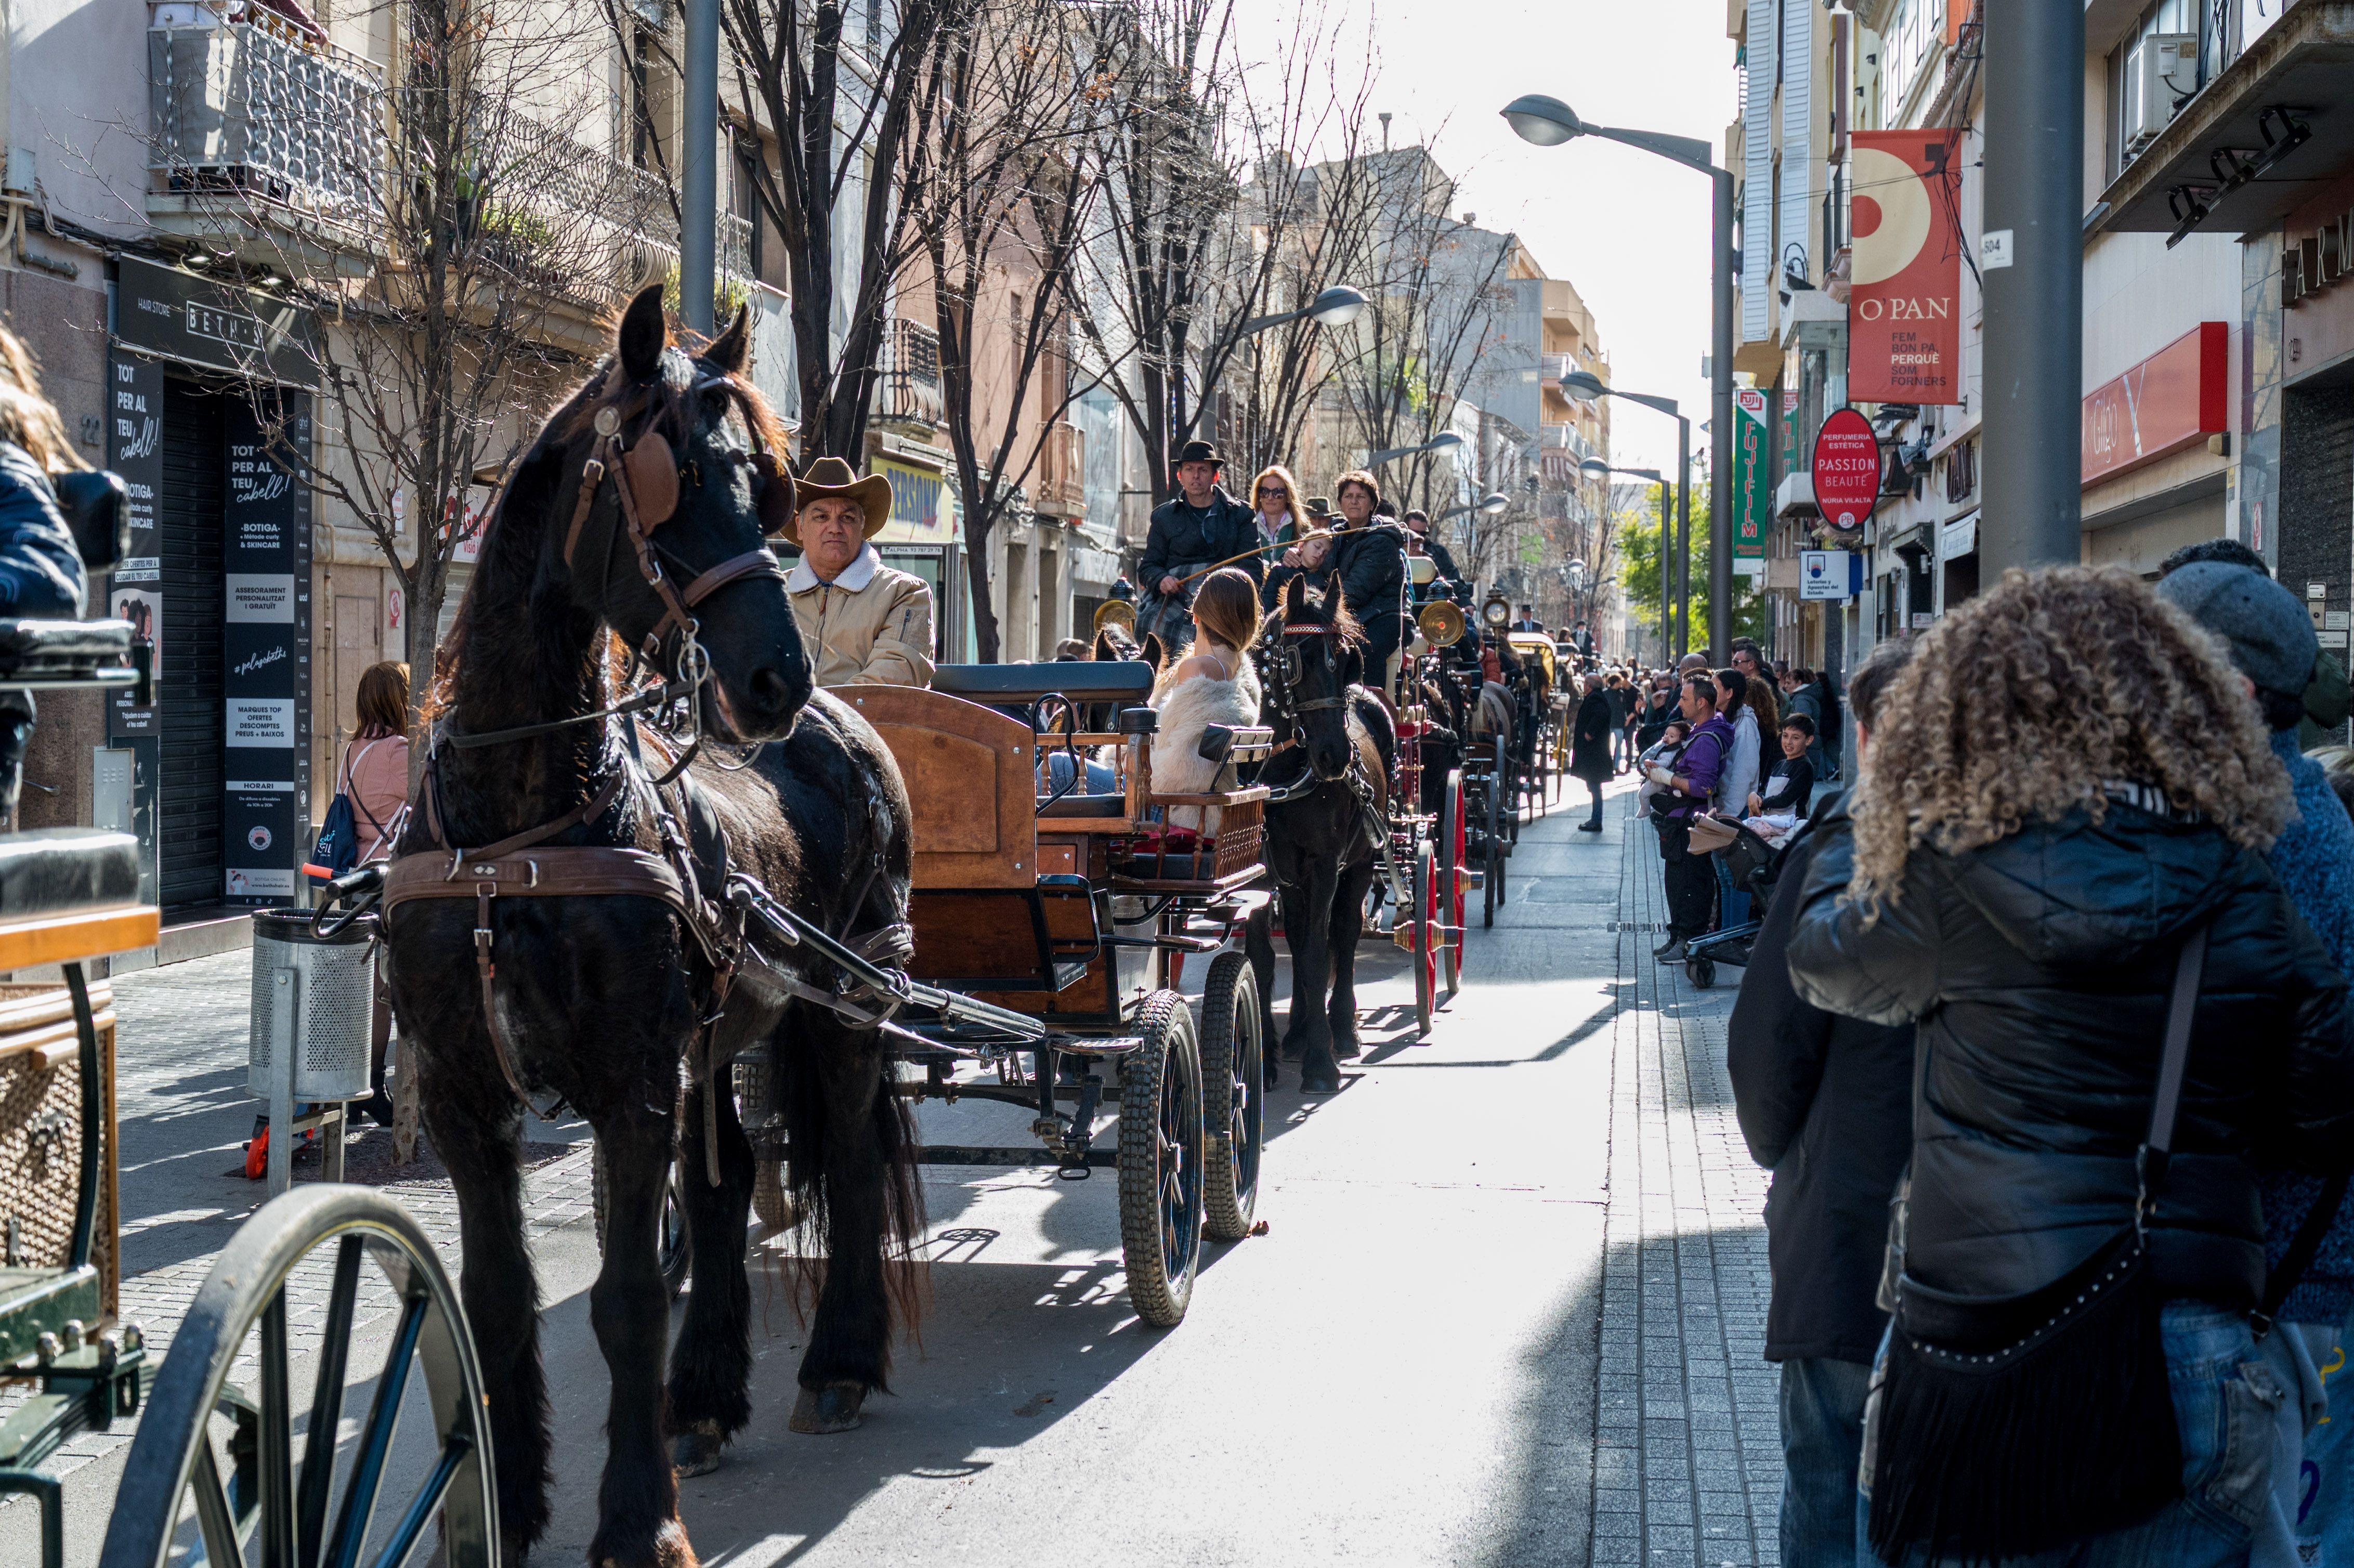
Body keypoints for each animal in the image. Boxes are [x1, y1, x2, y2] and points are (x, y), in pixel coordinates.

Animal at [384, 283, 918, 1563]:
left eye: (764, 488)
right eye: (671, 478)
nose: (774, 679)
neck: (516, 832)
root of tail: (851, 725)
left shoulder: (629, 1082)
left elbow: (625, 1298)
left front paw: (636, 1520)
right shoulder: (468, 1094)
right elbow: (495, 1298)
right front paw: (505, 1507)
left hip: (848, 1007)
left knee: (854, 1161)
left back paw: (836, 1362)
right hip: (720, 1035)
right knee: (726, 1188)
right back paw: (705, 1397)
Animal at [1252, 567, 1393, 1092]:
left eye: (1348, 661)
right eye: (1299, 659)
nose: (1336, 756)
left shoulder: (1327, 864)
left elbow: (1318, 952)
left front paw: (1320, 1062)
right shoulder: (1268, 870)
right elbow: (1274, 953)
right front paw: (1273, 1053)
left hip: (1363, 861)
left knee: (1346, 933)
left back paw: (1342, 1030)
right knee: (1299, 936)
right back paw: (1296, 1031)